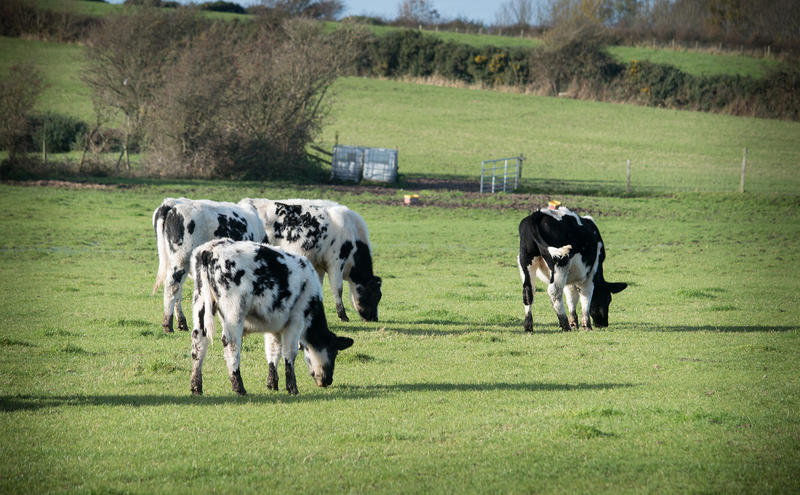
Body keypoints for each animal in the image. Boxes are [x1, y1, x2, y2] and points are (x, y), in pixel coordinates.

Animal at [149, 198, 262, 334]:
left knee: (178, 290)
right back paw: (168, 324)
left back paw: (181, 323)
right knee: (172, 286)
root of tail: (172, 202)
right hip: (181, 259)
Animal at [189, 238, 354, 398]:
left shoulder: (274, 325)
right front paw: (292, 388)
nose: (328, 380)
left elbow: (273, 351)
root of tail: (210, 248)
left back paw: (196, 387)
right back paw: (239, 387)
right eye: (334, 352)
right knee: (231, 344)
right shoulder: (296, 320)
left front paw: (272, 384)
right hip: (234, 313)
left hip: (201, 306)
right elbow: (289, 353)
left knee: (199, 341)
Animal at [239, 200, 382, 324]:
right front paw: (343, 316)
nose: (374, 318)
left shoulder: (319, 265)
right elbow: (337, 288)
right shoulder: (336, 262)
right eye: (375, 295)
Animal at [516, 205, 628, 334]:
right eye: (608, 299)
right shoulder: (590, 275)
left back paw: (528, 326)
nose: (603, 324)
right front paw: (586, 325)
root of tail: (537, 215)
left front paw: (574, 323)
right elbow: (585, 297)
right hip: (560, 263)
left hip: (526, 262)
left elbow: (571, 297)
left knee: (528, 291)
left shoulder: (569, 280)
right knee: (554, 291)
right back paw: (565, 325)